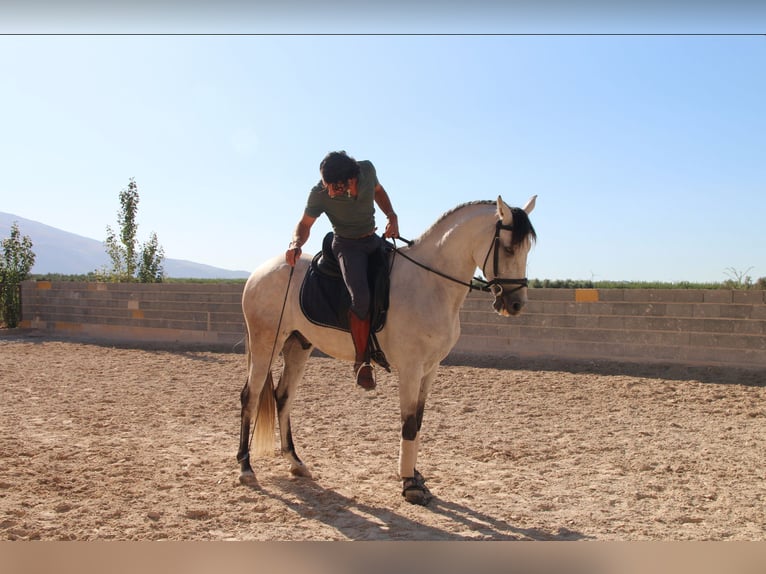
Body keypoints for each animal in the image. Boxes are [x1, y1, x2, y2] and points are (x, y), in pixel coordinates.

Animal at [237, 195, 537, 505]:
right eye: (508, 248)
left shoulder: (430, 369)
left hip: (298, 346)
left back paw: (296, 463)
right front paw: (410, 484)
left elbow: (418, 421)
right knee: (251, 396)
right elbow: (408, 423)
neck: (429, 283)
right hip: (266, 345)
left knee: (283, 398)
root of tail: (260, 272)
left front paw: (416, 476)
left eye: (527, 248)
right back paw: (246, 468)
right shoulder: (410, 369)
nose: (515, 304)